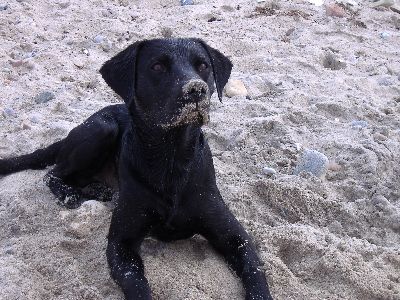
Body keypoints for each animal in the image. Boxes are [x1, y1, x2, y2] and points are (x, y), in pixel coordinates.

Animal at [0, 38, 272, 298]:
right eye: (157, 66)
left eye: (203, 66)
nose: (196, 89)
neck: (171, 158)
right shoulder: (122, 243)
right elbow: (136, 282)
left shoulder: (234, 235)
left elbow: (255, 270)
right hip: (102, 129)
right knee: (52, 174)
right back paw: (71, 194)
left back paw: (99, 190)